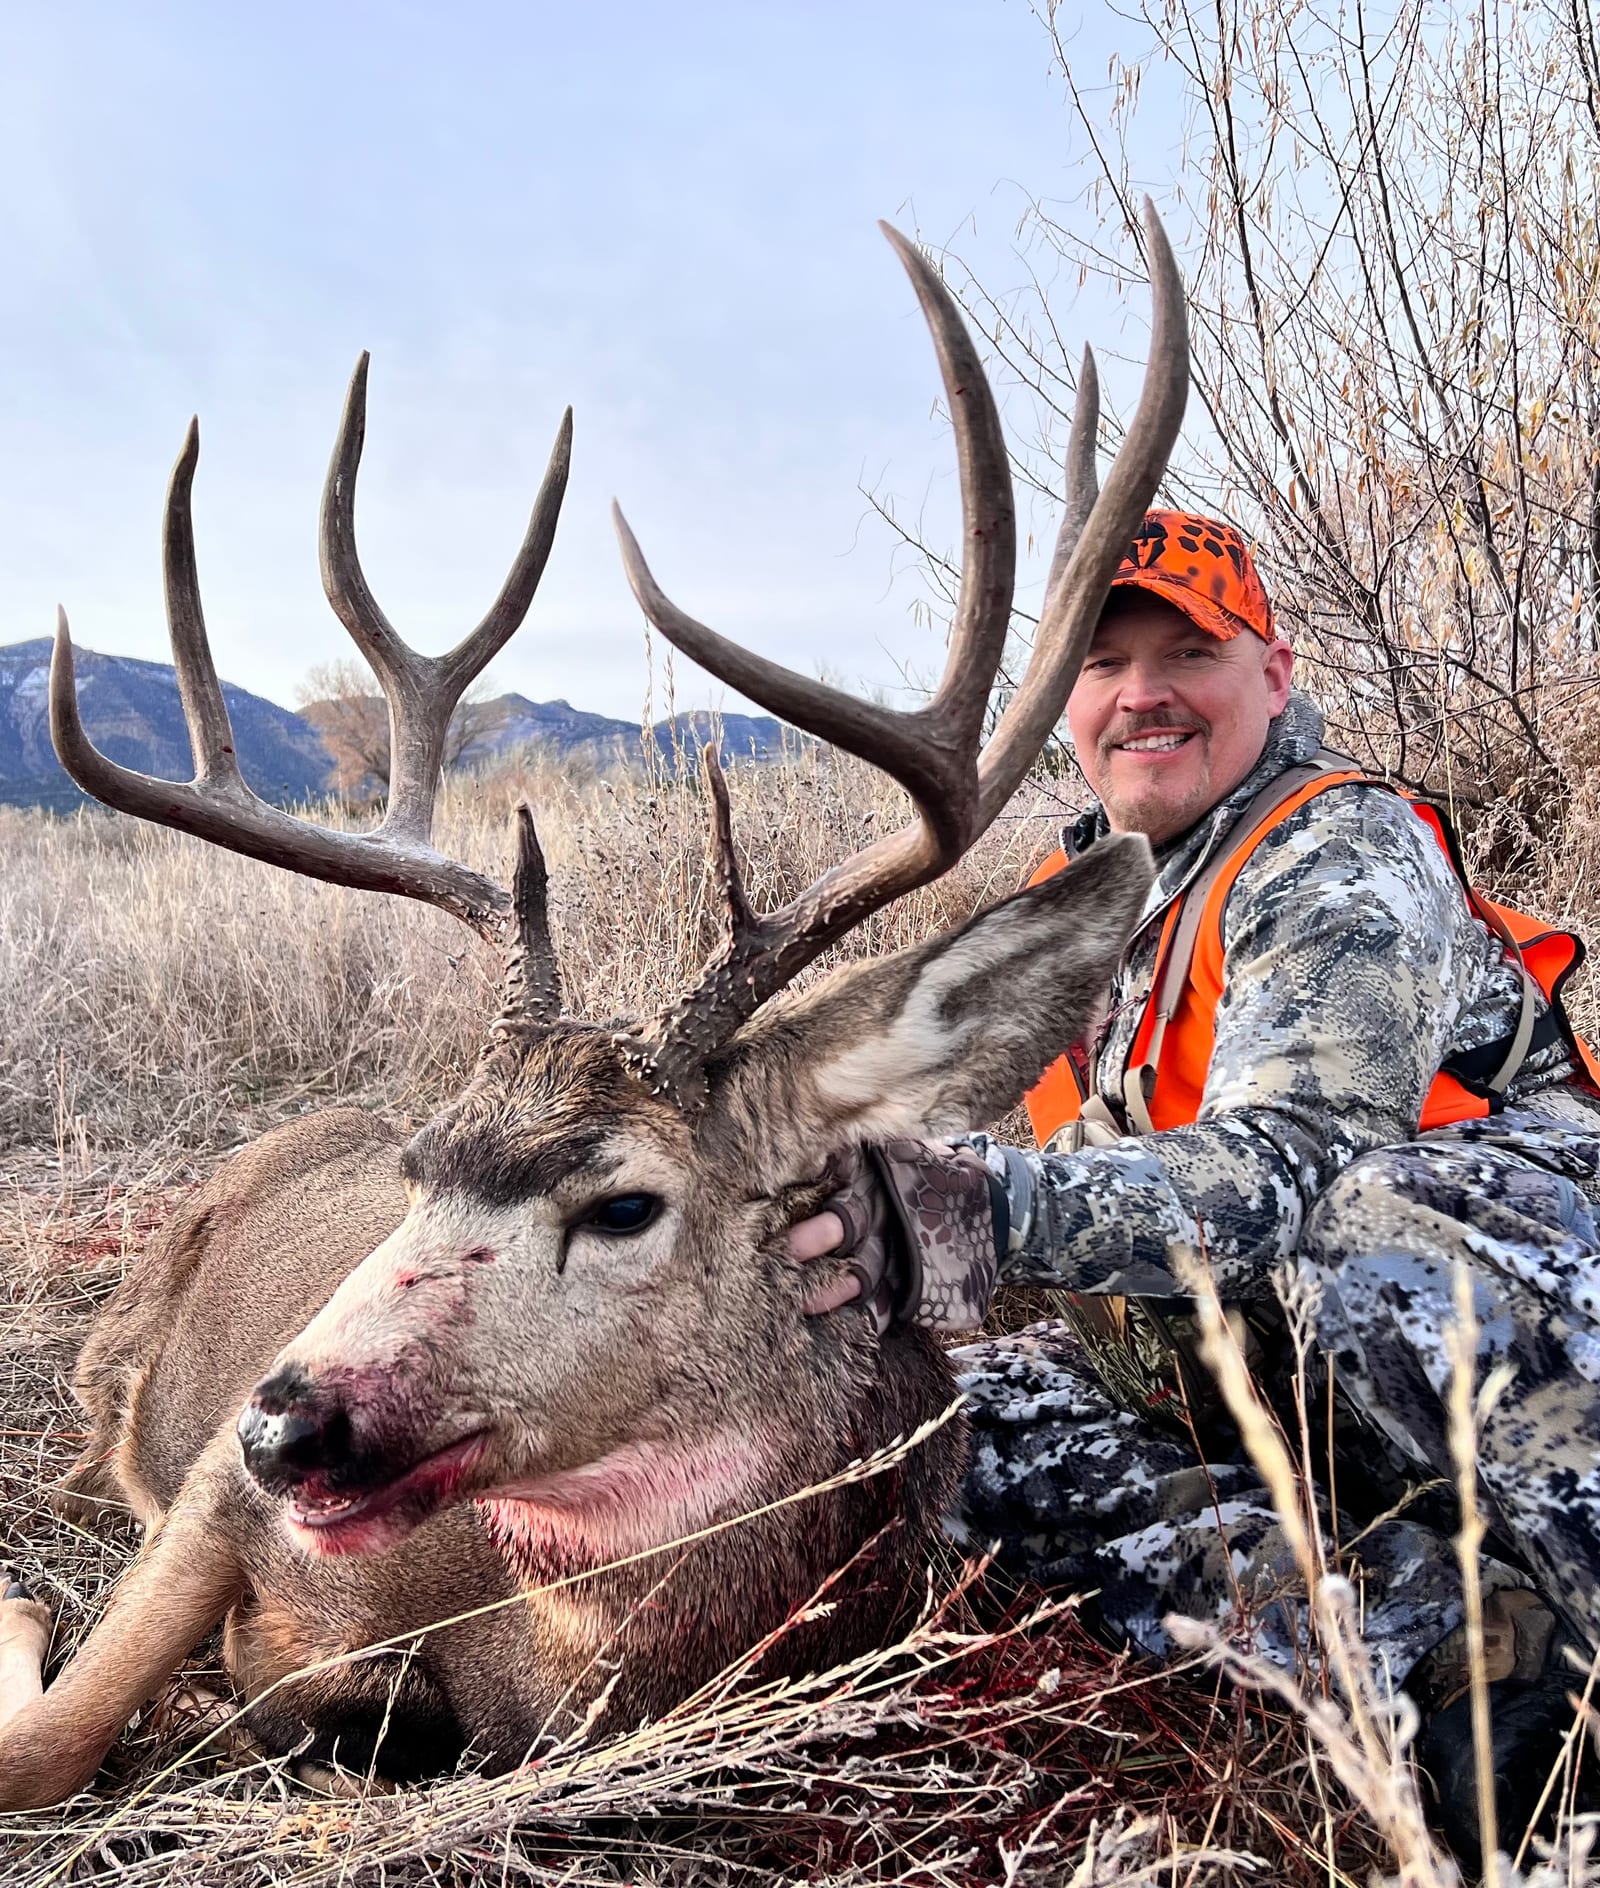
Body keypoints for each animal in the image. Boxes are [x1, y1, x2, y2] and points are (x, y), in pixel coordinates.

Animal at [0, 205, 1187, 1811]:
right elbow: (49, 1742)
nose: (283, 1417)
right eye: (420, 1169)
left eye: (624, 1204)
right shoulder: (206, 1504)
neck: (529, 1638)